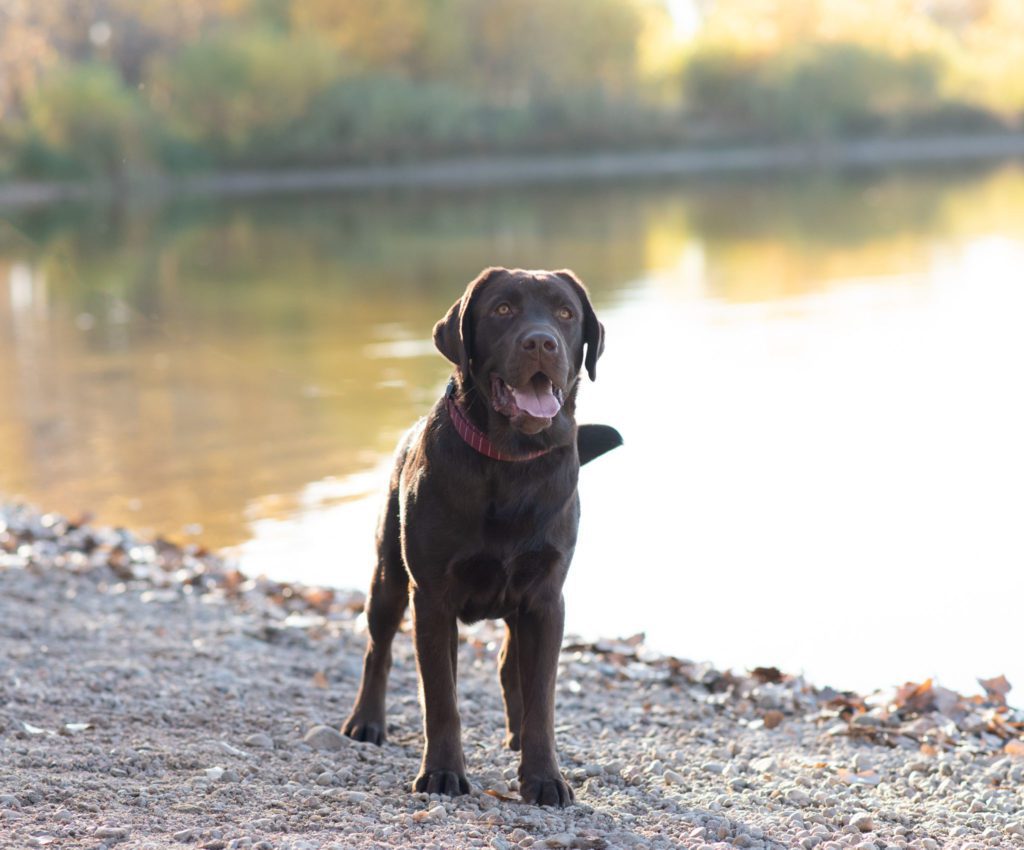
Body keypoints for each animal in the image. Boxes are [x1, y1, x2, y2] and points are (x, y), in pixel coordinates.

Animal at [339, 270, 618, 806]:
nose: (540, 342)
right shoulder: (430, 596)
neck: (510, 461)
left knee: (511, 664)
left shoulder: (546, 599)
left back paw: (515, 733)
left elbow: (542, 700)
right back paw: (366, 722)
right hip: (389, 580)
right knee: (378, 650)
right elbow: (440, 699)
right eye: (503, 310)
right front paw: (442, 772)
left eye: (565, 313)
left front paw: (544, 777)